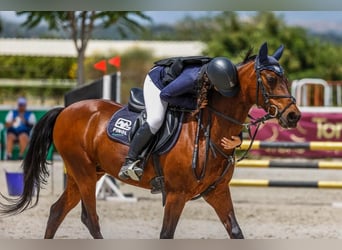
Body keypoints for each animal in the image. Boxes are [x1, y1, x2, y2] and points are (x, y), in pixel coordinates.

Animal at [0, 42, 300, 238]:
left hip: (85, 174)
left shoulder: (218, 193)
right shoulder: (176, 195)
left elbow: (236, 232)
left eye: (286, 78)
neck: (210, 130)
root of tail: (65, 110)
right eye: (270, 79)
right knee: (90, 218)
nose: (294, 116)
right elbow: (166, 234)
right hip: (83, 172)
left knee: (56, 212)